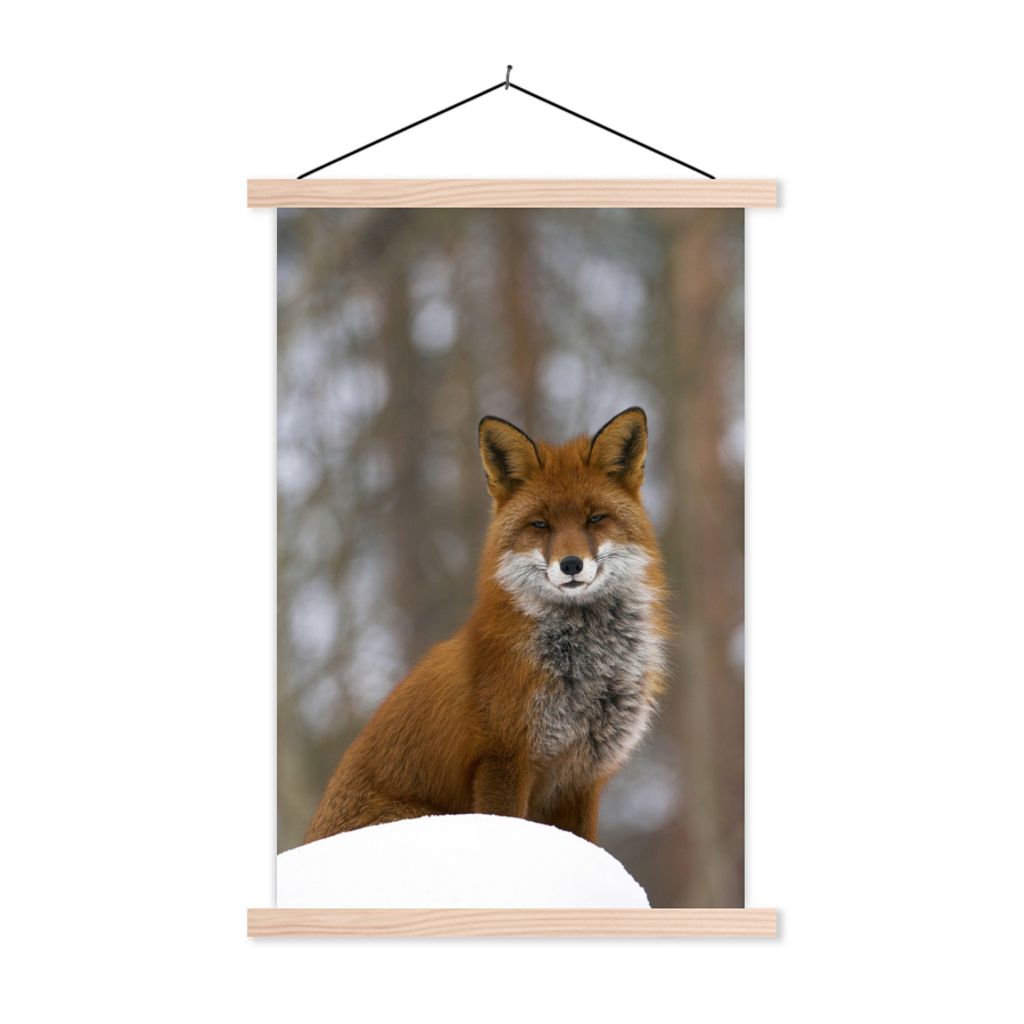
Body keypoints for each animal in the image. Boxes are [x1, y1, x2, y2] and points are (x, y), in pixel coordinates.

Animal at [305, 406, 669, 845]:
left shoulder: (582, 777)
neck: (586, 671)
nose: (571, 564)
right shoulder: (503, 759)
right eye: (540, 525)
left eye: (595, 518)